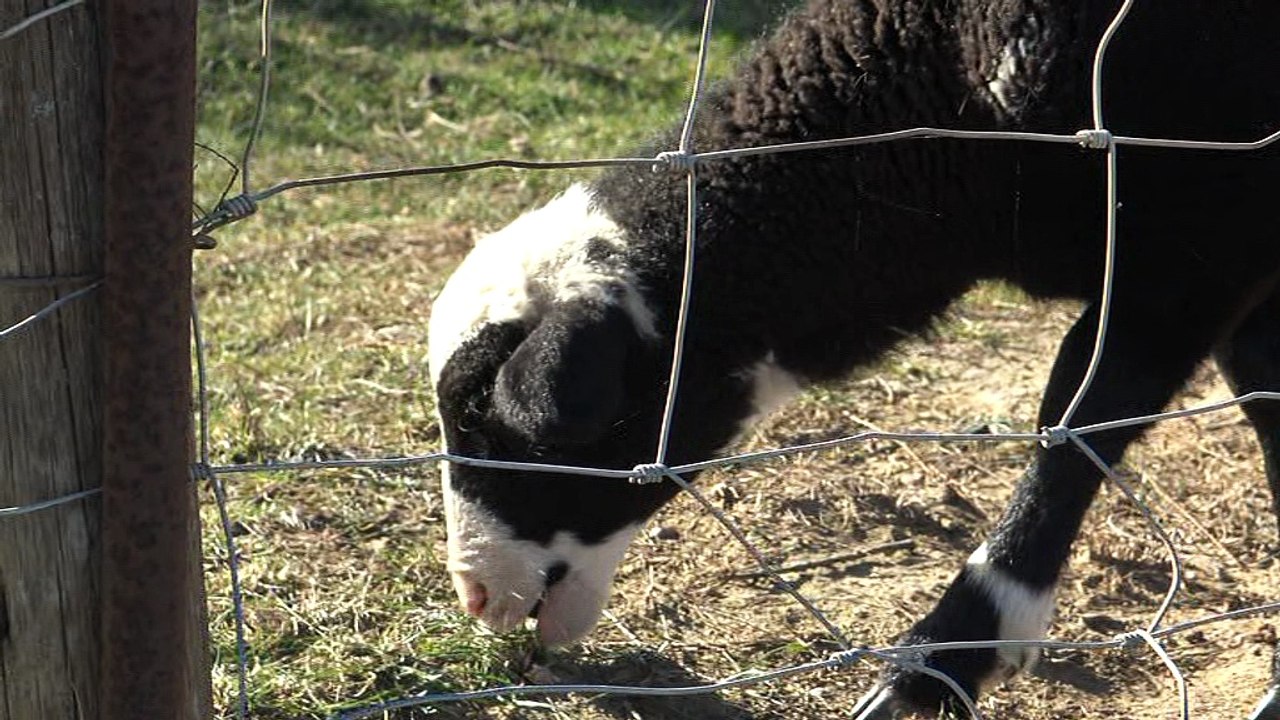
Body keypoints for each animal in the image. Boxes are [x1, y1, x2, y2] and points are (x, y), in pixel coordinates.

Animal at [427, 0, 1280, 715]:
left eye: (496, 429)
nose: (476, 596)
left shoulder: (1191, 257)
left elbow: (1075, 428)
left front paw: (941, 659)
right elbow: (1262, 411)